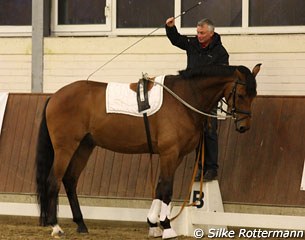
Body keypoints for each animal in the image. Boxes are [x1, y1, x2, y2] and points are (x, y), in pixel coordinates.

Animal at [35, 63, 258, 238]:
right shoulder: (170, 153)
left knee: (70, 181)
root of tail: (54, 96)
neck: (184, 99)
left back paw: (81, 224)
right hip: (65, 148)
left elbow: (159, 187)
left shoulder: (174, 156)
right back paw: (56, 227)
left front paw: (153, 224)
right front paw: (167, 227)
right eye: (240, 94)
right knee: (53, 181)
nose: (243, 127)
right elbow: (166, 188)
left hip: (84, 147)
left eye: (254, 96)